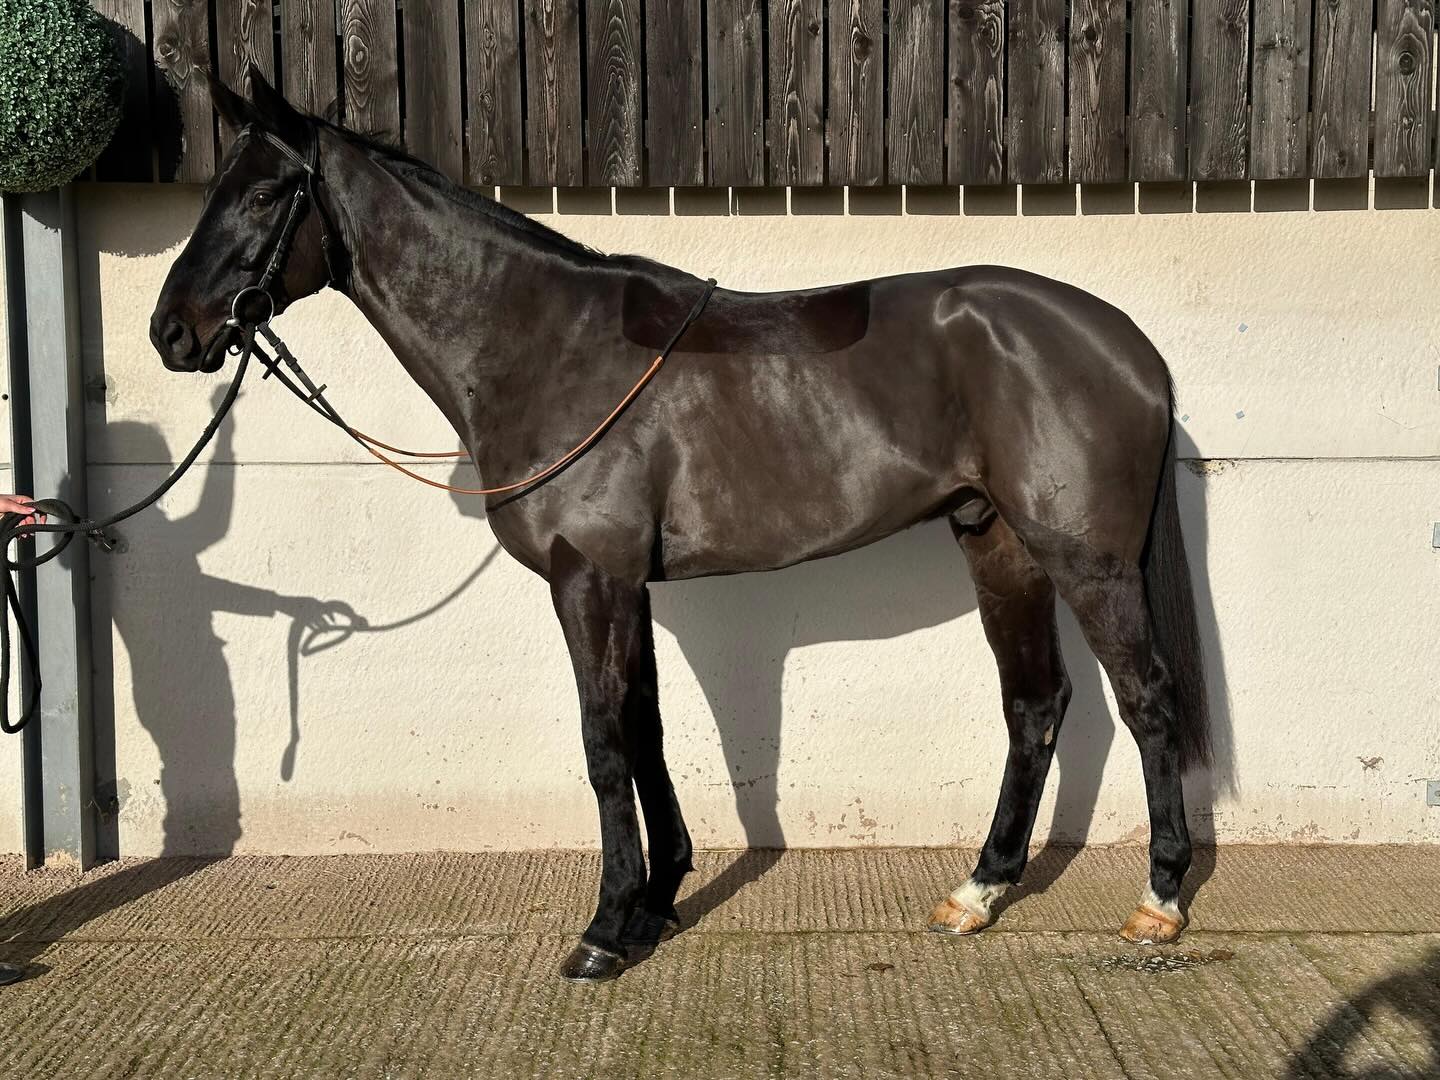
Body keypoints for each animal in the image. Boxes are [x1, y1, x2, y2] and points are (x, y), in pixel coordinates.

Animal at [150, 68, 1211, 983]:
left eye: (260, 195)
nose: (172, 332)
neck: (546, 347)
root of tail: (1127, 342)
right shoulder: (628, 586)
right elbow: (647, 729)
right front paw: (655, 904)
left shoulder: (590, 580)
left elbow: (604, 741)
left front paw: (603, 930)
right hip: (998, 543)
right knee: (1034, 704)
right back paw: (979, 891)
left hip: (1087, 560)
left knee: (1148, 699)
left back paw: (1159, 902)